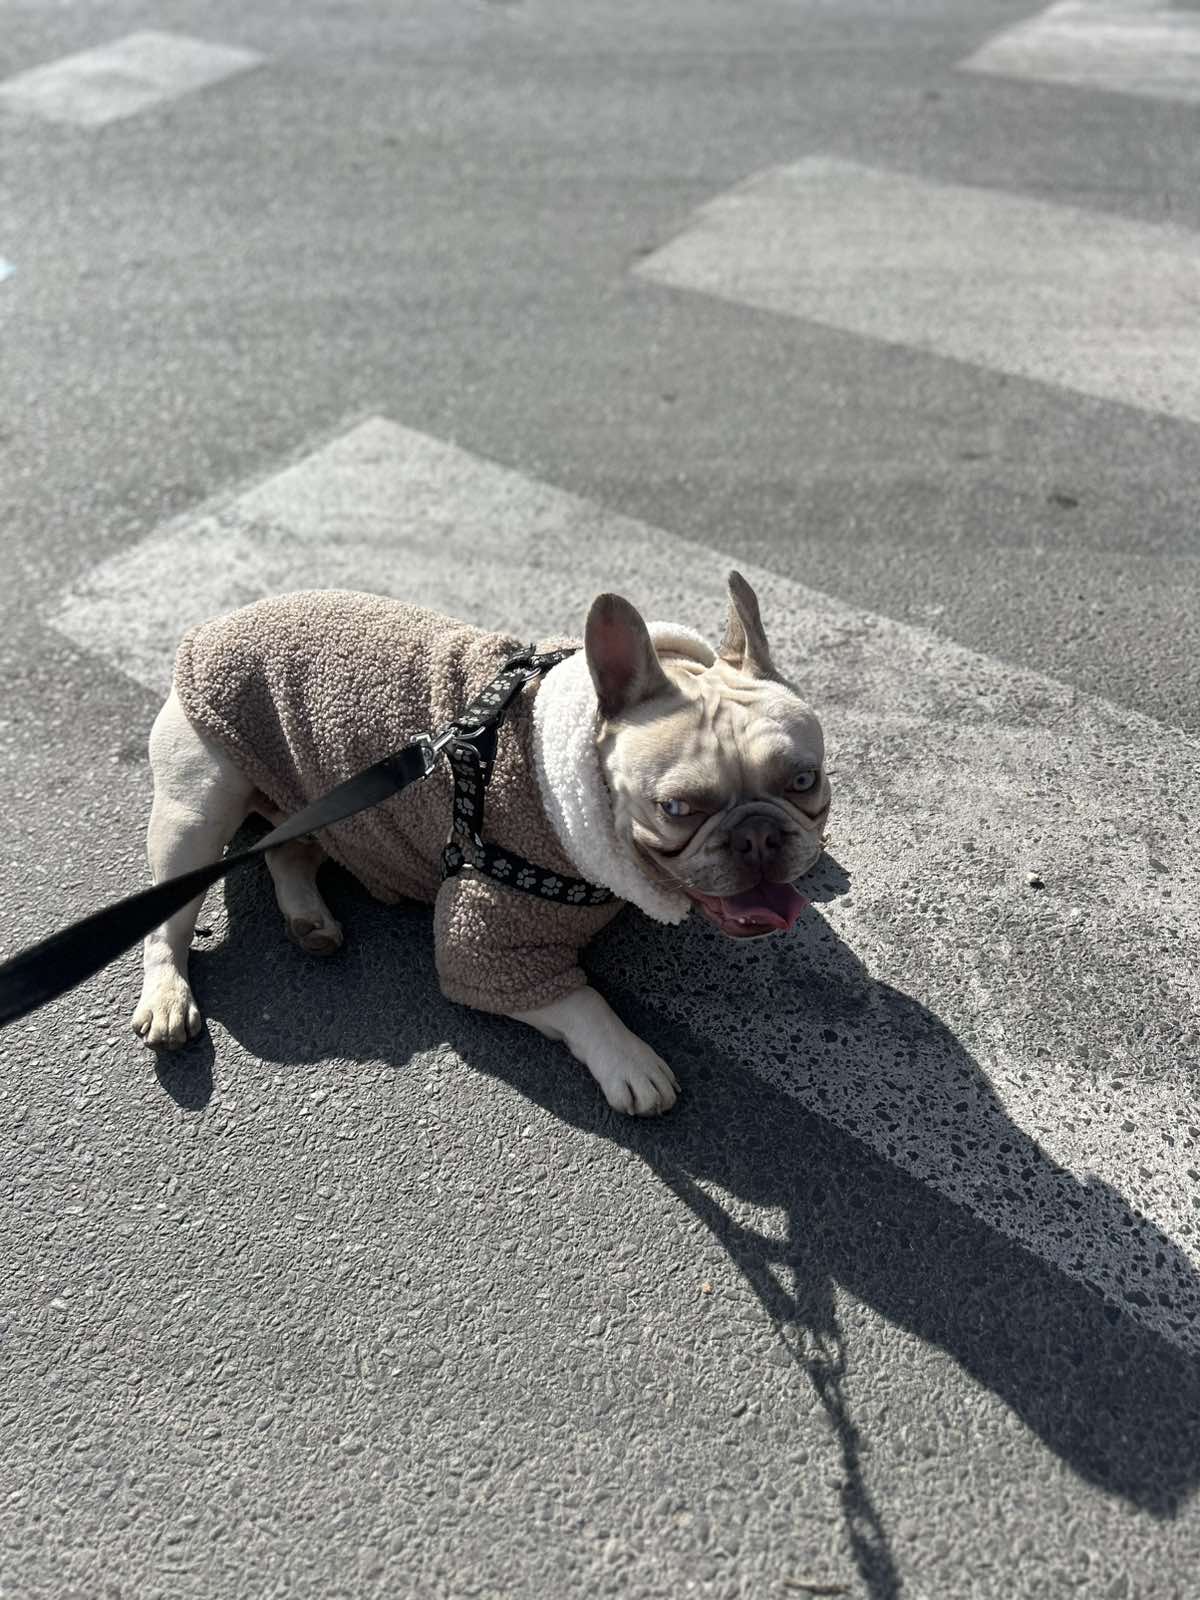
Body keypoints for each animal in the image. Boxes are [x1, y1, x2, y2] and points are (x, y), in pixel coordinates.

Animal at [132, 573, 830, 1116]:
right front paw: (629, 1058)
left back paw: (310, 920)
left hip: (330, 805)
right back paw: (168, 996)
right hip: (198, 806)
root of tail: (216, 622)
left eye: (805, 781)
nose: (758, 837)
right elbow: (579, 998)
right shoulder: (487, 941)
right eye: (678, 809)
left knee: (288, 849)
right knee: (169, 915)